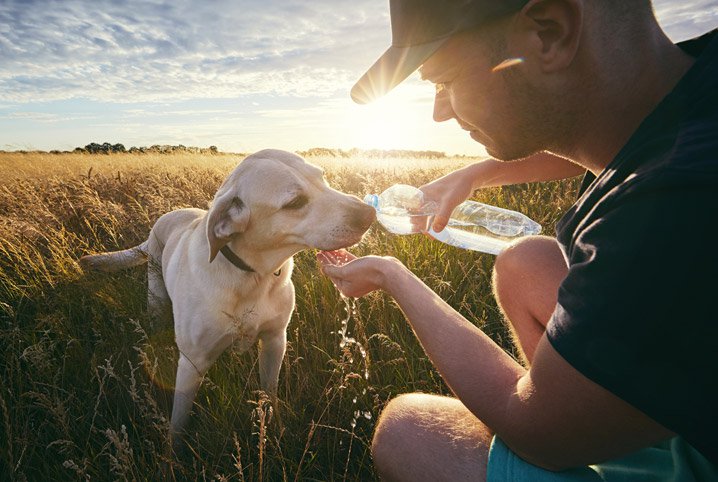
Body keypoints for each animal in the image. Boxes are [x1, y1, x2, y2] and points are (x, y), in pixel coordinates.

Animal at [81, 150, 376, 440]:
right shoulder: (192, 362)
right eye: (295, 202)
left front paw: (276, 431)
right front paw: (173, 453)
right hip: (156, 297)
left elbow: (270, 393)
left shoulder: (275, 340)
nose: (369, 213)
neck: (253, 276)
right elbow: (179, 420)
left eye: (322, 177)